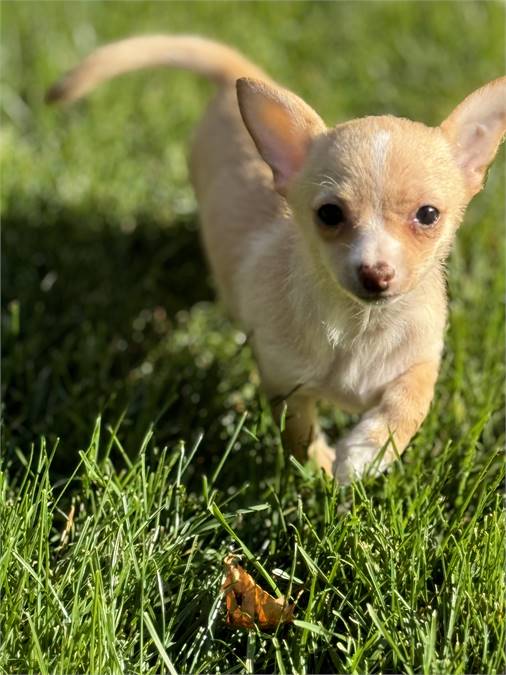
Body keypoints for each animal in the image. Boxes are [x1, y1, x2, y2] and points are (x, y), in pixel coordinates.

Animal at [47, 35, 506, 480]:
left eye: (427, 215)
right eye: (329, 214)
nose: (375, 274)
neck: (359, 327)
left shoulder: (421, 359)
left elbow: (409, 403)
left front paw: (366, 452)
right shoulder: (286, 384)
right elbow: (299, 435)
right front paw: (322, 470)